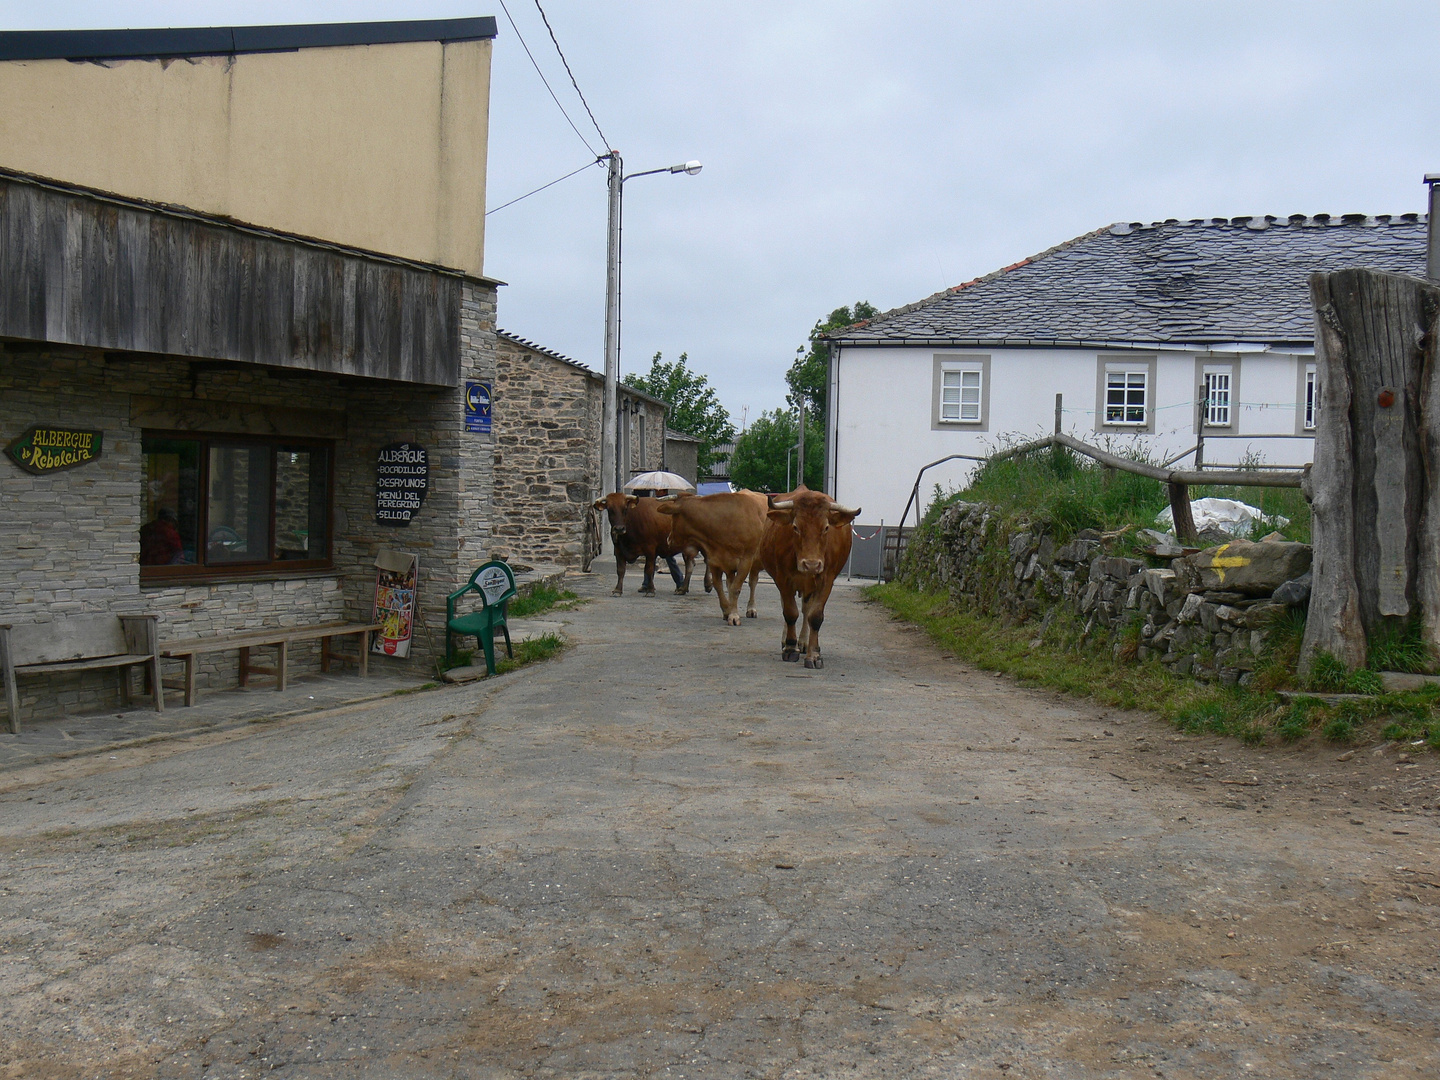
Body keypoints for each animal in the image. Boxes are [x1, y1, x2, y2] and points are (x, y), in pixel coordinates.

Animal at [659, 489, 771, 624]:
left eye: (673, 517)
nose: (668, 539)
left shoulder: (746, 561)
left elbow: (736, 588)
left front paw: (734, 615)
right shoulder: (714, 561)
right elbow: (720, 587)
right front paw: (727, 611)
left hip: (755, 563)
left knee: (752, 582)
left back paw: (751, 609)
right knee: (731, 583)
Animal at [760, 489, 858, 668]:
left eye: (826, 527)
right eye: (795, 527)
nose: (811, 564)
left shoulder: (826, 580)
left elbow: (815, 616)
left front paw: (814, 654)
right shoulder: (783, 579)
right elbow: (790, 613)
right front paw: (790, 648)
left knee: (806, 610)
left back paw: (804, 642)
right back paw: (787, 641)